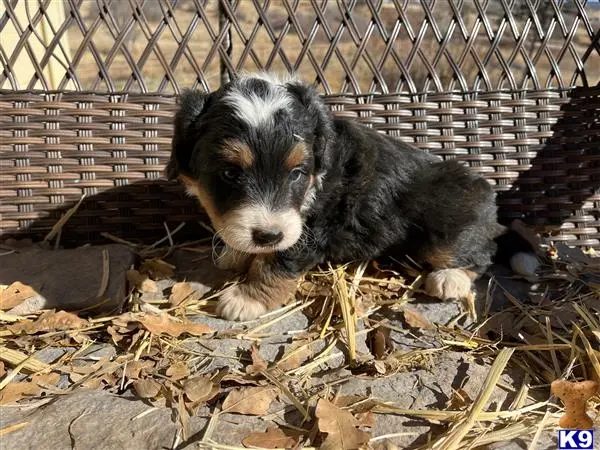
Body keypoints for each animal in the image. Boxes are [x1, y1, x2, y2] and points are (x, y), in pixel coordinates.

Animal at [166, 73, 536, 320]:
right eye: (229, 174)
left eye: (296, 173)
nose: (267, 235)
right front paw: (236, 252)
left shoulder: (310, 229)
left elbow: (277, 262)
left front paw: (247, 298)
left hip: (448, 220)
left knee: (481, 252)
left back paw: (451, 278)